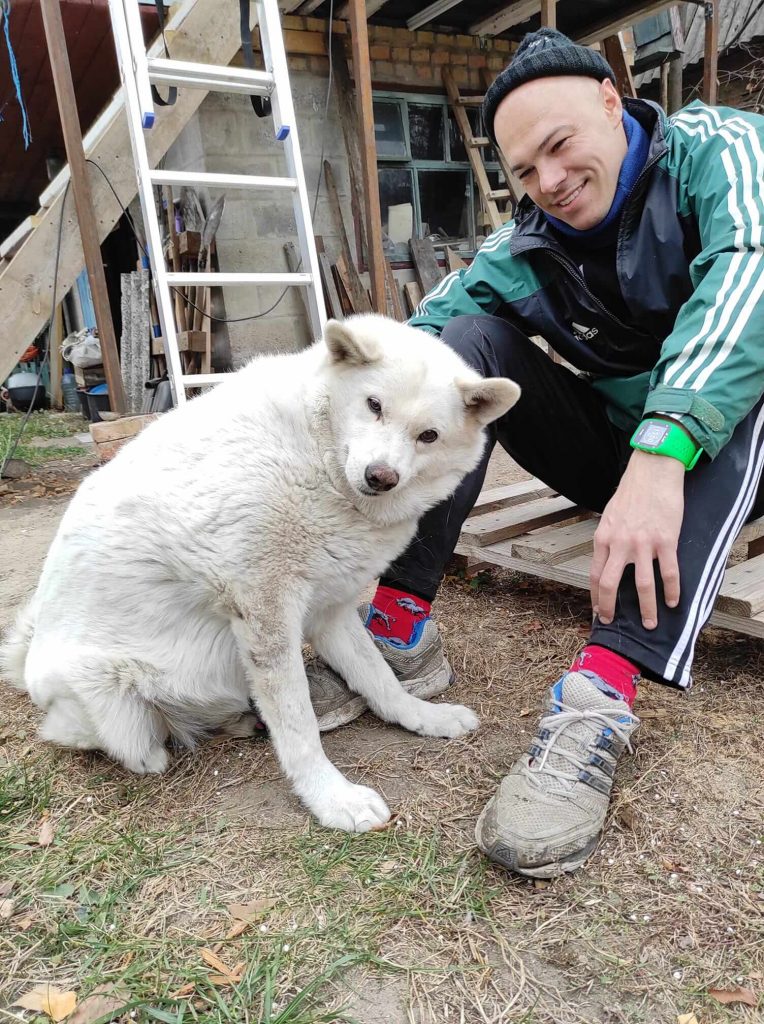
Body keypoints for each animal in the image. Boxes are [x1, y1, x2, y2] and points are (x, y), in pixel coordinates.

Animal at [2, 317, 518, 831]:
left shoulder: (330, 611)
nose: (380, 476)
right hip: (111, 701)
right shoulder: (267, 616)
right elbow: (299, 725)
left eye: (428, 435)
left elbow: (380, 679)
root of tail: (28, 658)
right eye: (374, 405)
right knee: (104, 739)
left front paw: (422, 717)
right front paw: (332, 798)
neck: (316, 460)